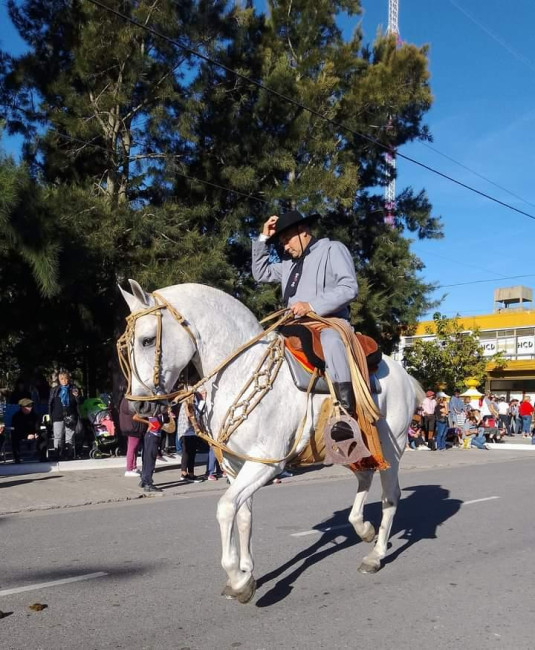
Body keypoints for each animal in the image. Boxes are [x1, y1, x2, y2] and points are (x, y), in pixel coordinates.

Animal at [120, 278, 422, 604]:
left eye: (148, 340)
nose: (138, 407)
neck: (241, 371)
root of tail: (404, 375)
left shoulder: (266, 464)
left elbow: (226, 508)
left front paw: (238, 579)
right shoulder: (235, 466)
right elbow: (243, 515)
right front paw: (247, 572)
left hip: (392, 446)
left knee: (390, 496)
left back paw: (375, 555)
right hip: (351, 446)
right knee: (365, 477)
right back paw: (363, 528)